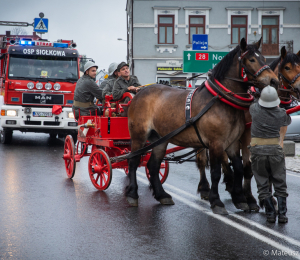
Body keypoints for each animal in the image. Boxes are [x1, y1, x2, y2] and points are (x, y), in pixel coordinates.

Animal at [126, 38, 278, 213]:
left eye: (264, 59)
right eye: (252, 59)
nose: (274, 81)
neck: (221, 99)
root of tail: (139, 92)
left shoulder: (232, 143)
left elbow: (239, 168)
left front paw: (240, 199)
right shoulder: (216, 144)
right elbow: (215, 172)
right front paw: (216, 201)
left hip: (160, 139)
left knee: (153, 165)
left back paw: (162, 195)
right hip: (139, 136)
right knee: (133, 161)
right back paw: (132, 194)